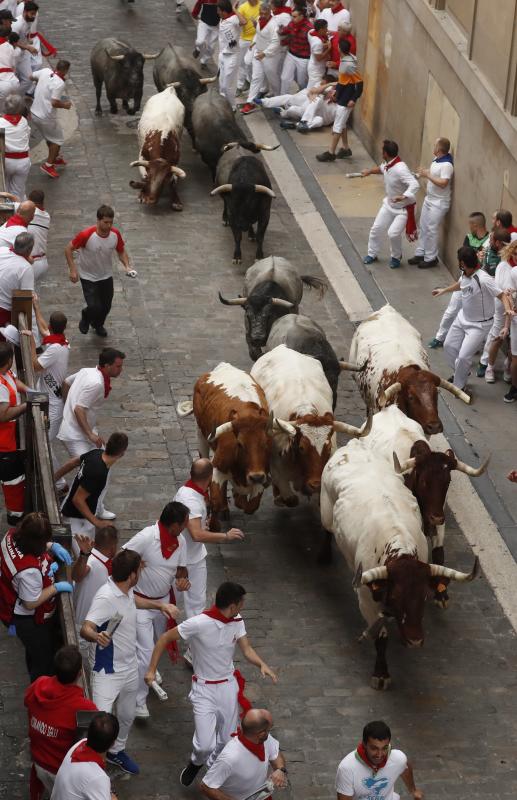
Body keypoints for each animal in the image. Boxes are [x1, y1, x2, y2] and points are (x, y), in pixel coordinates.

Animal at [177, 360, 272, 520]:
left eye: (266, 443)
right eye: (240, 443)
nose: (256, 477)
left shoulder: (262, 473)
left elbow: (251, 505)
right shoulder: (217, 467)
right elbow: (216, 500)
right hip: (201, 434)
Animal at [320, 440, 478, 692]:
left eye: (424, 596)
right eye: (395, 596)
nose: (415, 640)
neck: (397, 544)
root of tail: (353, 445)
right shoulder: (366, 600)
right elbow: (381, 636)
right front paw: (381, 673)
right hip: (325, 512)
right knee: (326, 529)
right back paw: (324, 555)